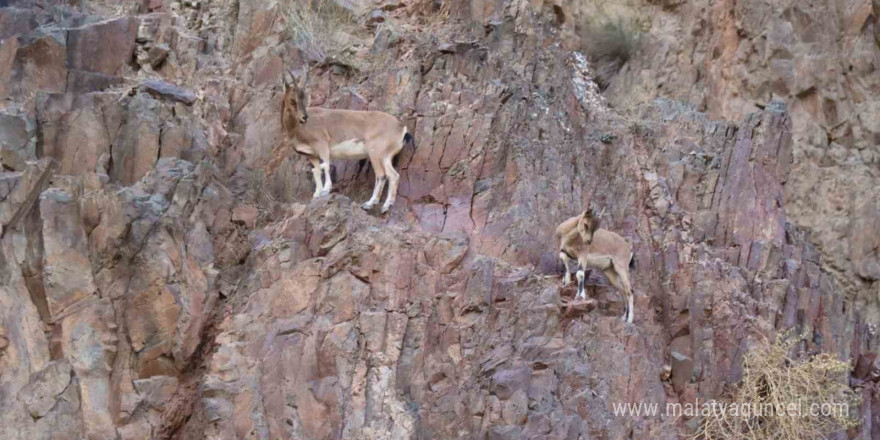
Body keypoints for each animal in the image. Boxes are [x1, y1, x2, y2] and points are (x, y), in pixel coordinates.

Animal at [278, 67, 416, 213]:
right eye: (292, 99)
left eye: (304, 97)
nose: (304, 117)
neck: (298, 128)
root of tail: (401, 128)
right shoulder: (311, 155)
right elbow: (316, 171)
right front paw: (317, 194)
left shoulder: (322, 144)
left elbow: (326, 165)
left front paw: (326, 190)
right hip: (385, 157)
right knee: (392, 176)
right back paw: (381, 205)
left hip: (376, 153)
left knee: (382, 175)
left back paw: (374, 204)